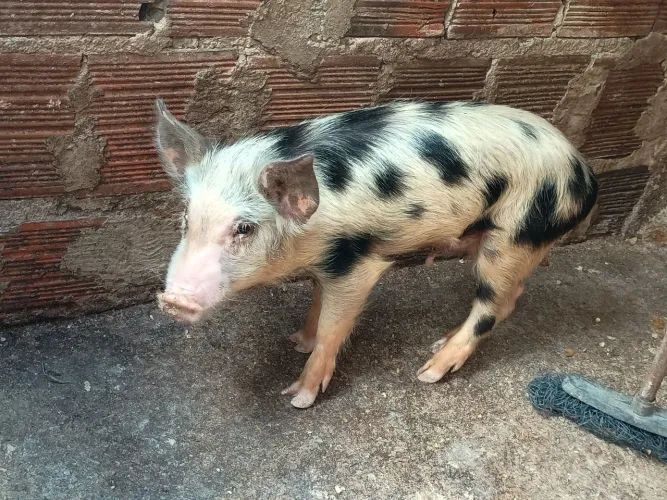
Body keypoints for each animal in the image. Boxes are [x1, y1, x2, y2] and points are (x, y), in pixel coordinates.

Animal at [155, 99, 598, 408]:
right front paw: (297, 340)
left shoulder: (356, 263)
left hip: (516, 233)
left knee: (490, 307)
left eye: (244, 228)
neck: (310, 238)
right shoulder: (329, 262)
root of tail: (586, 175)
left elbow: (334, 327)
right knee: (510, 297)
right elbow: (317, 302)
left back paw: (429, 371)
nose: (172, 299)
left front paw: (298, 396)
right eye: (187, 217)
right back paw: (438, 342)